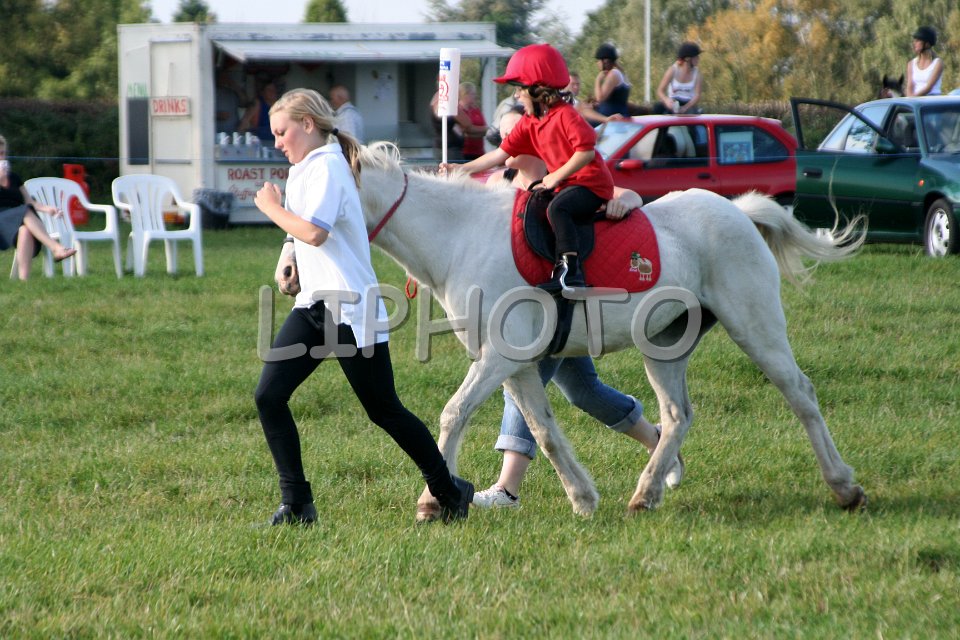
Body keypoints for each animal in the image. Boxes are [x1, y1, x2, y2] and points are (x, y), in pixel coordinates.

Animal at [355, 142, 868, 520]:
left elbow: (454, 413)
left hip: (755, 328)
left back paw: (844, 486)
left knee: (800, 394)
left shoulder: (501, 357)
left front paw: (432, 501)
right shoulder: (514, 365)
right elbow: (542, 430)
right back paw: (649, 491)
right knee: (676, 416)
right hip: (664, 347)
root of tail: (739, 211)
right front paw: (582, 497)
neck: (461, 237)